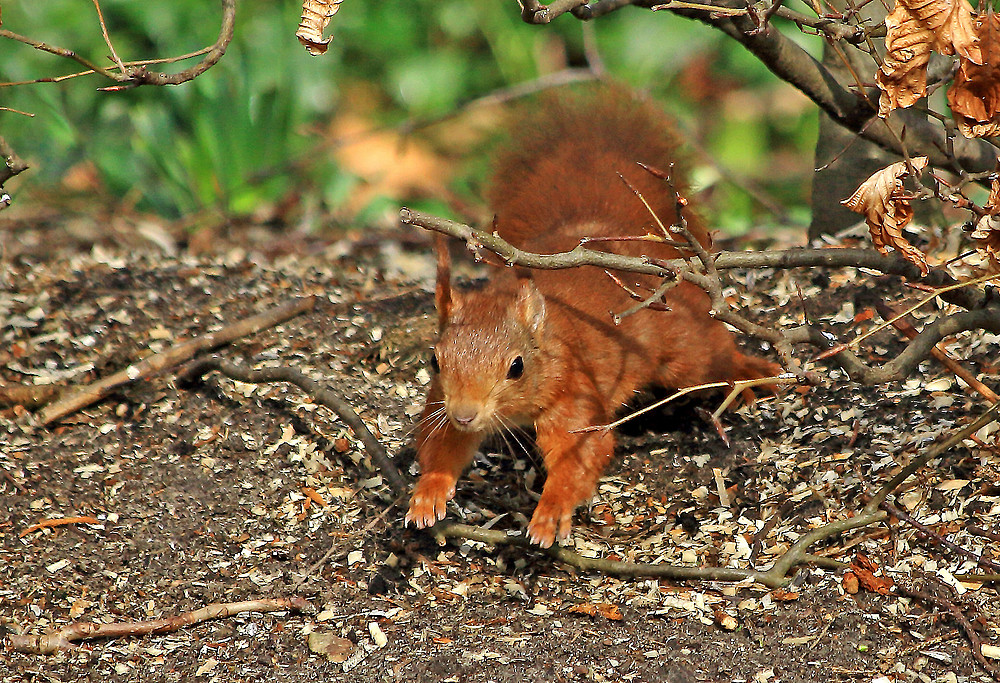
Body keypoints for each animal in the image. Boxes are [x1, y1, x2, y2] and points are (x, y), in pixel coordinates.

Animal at [402, 85, 776, 548]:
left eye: (517, 367)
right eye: (434, 360)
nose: (466, 414)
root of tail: (597, 227)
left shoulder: (574, 396)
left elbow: (580, 457)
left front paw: (551, 511)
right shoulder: (442, 402)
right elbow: (440, 441)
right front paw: (429, 491)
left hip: (682, 347)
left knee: (712, 352)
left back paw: (750, 373)